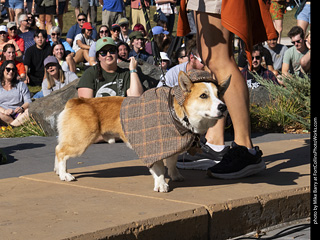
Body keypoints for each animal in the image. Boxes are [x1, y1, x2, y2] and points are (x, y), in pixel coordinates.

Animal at [55, 70, 230, 192]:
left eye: (219, 95)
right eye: (203, 95)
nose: (223, 107)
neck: (176, 111)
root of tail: (77, 101)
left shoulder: (172, 147)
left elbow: (172, 163)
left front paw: (175, 176)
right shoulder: (153, 149)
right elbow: (159, 169)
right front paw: (161, 185)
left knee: (59, 149)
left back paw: (58, 171)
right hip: (81, 141)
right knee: (60, 152)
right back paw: (64, 174)